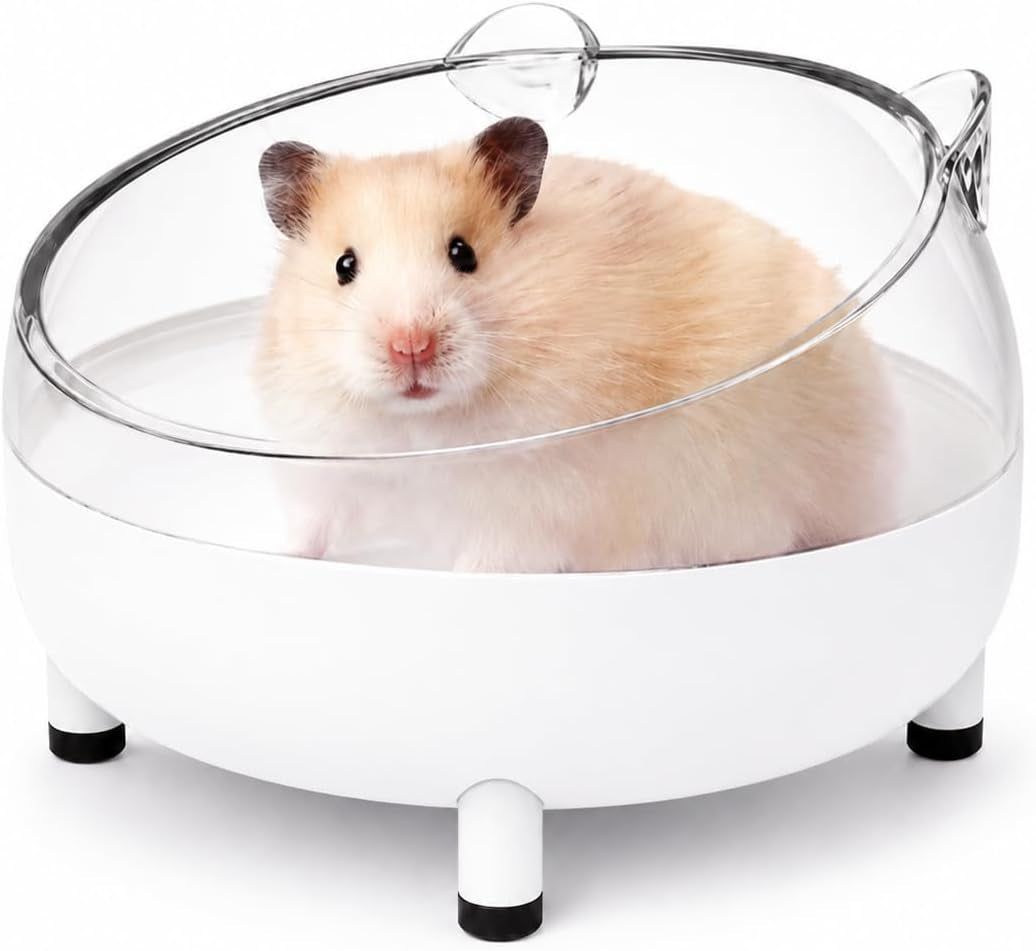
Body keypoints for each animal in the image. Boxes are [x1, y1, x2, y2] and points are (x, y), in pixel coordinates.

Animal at [255, 117, 898, 571]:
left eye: (464, 254)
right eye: (344, 266)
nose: (409, 347)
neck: (421, 429)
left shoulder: (535, 508)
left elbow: (490, 558)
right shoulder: (323, 468)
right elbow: (309, 530)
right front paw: (274, 556)